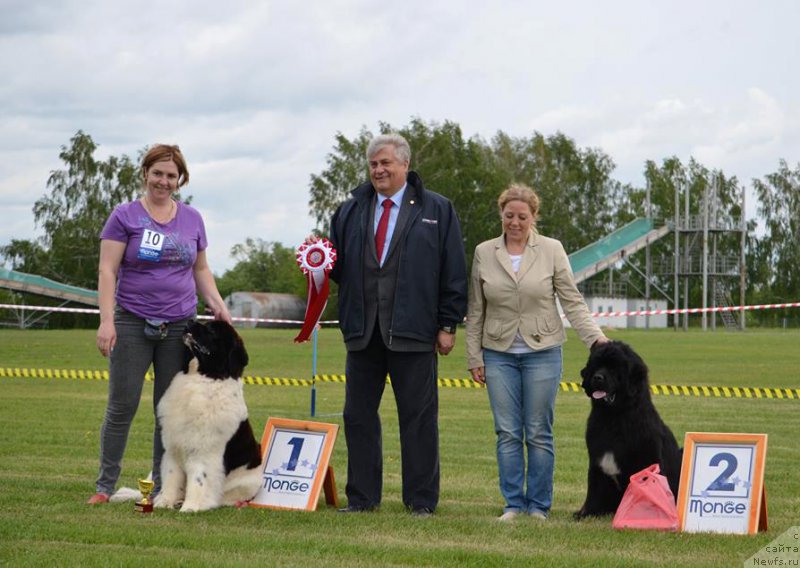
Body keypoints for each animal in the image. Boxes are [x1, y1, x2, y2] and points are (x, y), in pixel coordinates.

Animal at [151, 322, 262, 512]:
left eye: (211, 331)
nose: (189, 321)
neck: (202, 377)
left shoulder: (203, 451)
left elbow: (199, 479)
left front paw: (191, 507)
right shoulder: (173, 447)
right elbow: (171, 477)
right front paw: (165, 502)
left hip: (249, 482)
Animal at [576, 342, 680, 520]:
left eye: (614, 368)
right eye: (596, 366)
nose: (597, 377)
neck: (614, 417)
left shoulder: (647, 460)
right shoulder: (597, 460)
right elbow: (594, 488)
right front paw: (586, 513)